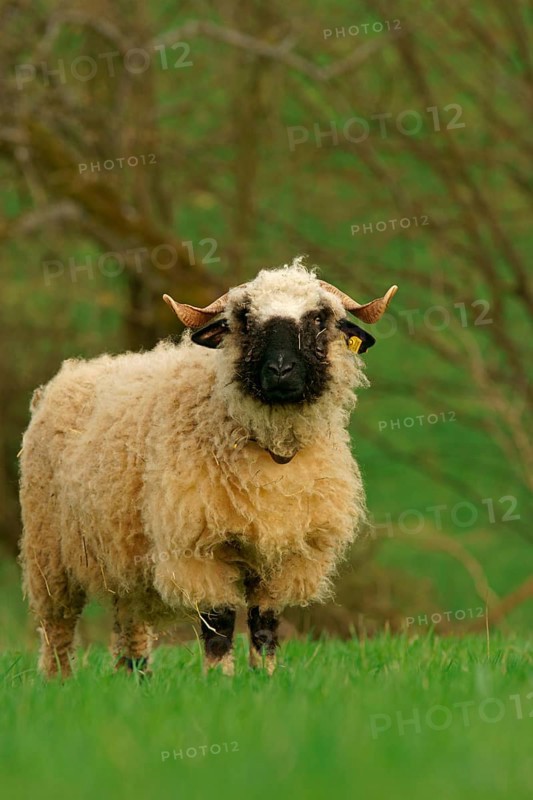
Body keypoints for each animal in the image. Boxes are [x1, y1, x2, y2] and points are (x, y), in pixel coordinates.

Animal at [19, 257, 397, 678]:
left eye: (318, 318)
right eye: (244, 318)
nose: (281, 370)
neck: (272, 449)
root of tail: (67, 377)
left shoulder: (288, 555)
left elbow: (265, 625)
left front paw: (265, 678)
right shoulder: (199, 547)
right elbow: (219, 623)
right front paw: (220, 681)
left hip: (122, 552)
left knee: (129, 621)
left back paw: (136, 680)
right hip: (48, 551)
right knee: (57, 628)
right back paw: (59, 681)